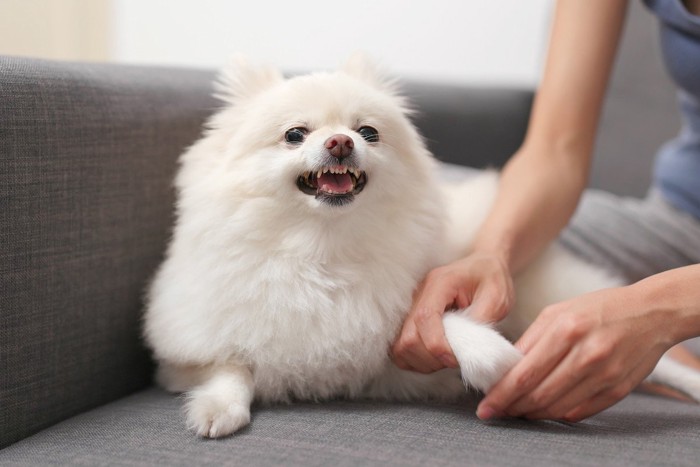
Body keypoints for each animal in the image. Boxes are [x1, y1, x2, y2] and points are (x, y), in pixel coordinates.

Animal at [144, 55, 700, 438]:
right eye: (295, 134)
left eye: (368, 131)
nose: (341, 142)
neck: (323, 249)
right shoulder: (191, 351)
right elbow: (230, 366)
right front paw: (217, 408)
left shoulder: (416, 318)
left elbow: (449, 319)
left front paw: (493, 356)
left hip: (555, 299)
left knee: (668, 360)